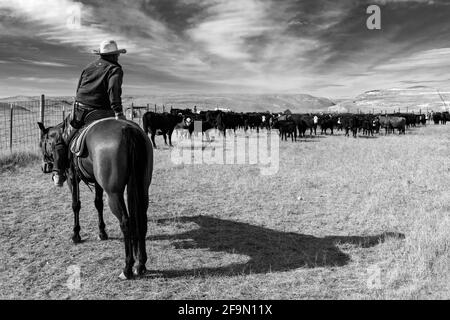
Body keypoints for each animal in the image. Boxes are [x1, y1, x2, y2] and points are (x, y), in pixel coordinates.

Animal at [37, 118, 153, 280]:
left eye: (42, 144)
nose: (44, 167)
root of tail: (127, 129)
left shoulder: (72, 177)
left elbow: (76, 205)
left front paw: (76, 235)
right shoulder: (97, 182)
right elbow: (98, 204)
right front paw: (102, 232)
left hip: (114, 194)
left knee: (126, 223)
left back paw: (127, 268)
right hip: (142, 188)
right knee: (141, 219)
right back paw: (140, 264)